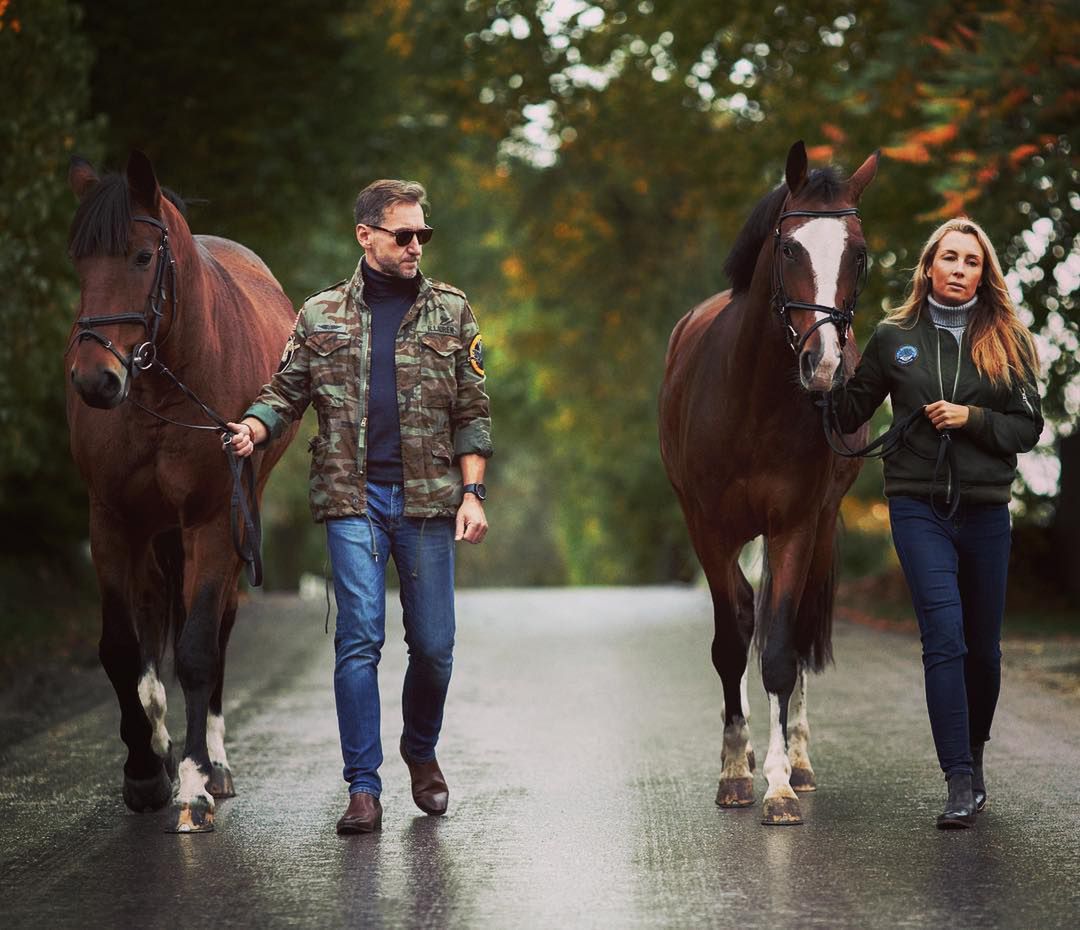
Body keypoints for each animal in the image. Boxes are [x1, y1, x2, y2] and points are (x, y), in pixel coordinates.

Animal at [68, 152, 298, 833]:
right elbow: (122, 648)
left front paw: (194, 785)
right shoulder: (112, 521)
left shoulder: (213, 522)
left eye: (143, 256)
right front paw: (145, 772)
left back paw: (213, 763)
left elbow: (197, 650)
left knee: (217, 629)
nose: (95, 379)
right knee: (150, 625)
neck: (161, 396)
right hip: (154, 533)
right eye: (79, 261)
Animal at [656, 141, 876, 825]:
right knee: (746, 613)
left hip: (822, 523)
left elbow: (780, 650)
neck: (750, 395)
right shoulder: (708, 527)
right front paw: (735, 771)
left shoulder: (796, 524)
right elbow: (731, 642)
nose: (824, 365)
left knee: (794, 626)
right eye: (789, 250)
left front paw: (779, 786)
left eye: (859, 255)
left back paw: (796, 760)